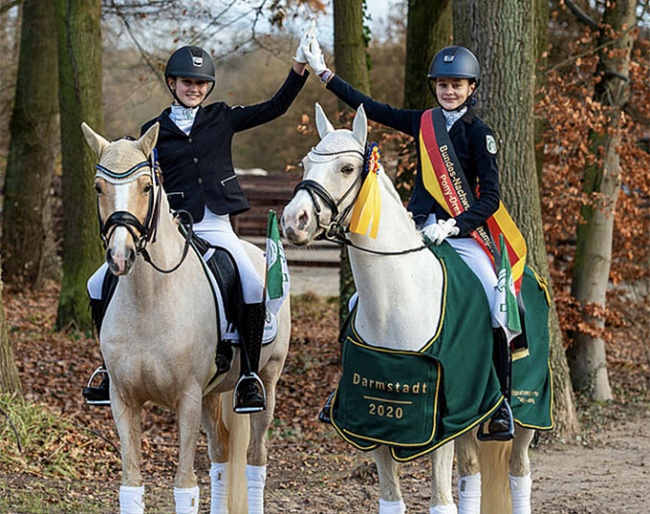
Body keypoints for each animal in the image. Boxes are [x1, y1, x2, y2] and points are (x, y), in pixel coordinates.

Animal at [82, 121, 290, 512]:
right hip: (212, 395)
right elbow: (130, 486)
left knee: (256, 460)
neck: (148, 300)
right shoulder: (123, 399)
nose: (120, 257)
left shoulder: (187, 398)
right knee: (222, 456)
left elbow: (185, 487)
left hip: (267, 381)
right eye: (98, 187)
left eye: (146, 187)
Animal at [280, 102, 548, 510]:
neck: (394, 301)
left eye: (347, 169)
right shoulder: (374, 422)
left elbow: (441, 503)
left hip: (526, 413)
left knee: (520, 474)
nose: (294, 221)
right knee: (472, 473)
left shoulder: (442, 423)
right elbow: (391, 501)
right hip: (473, 416)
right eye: (305, 163)